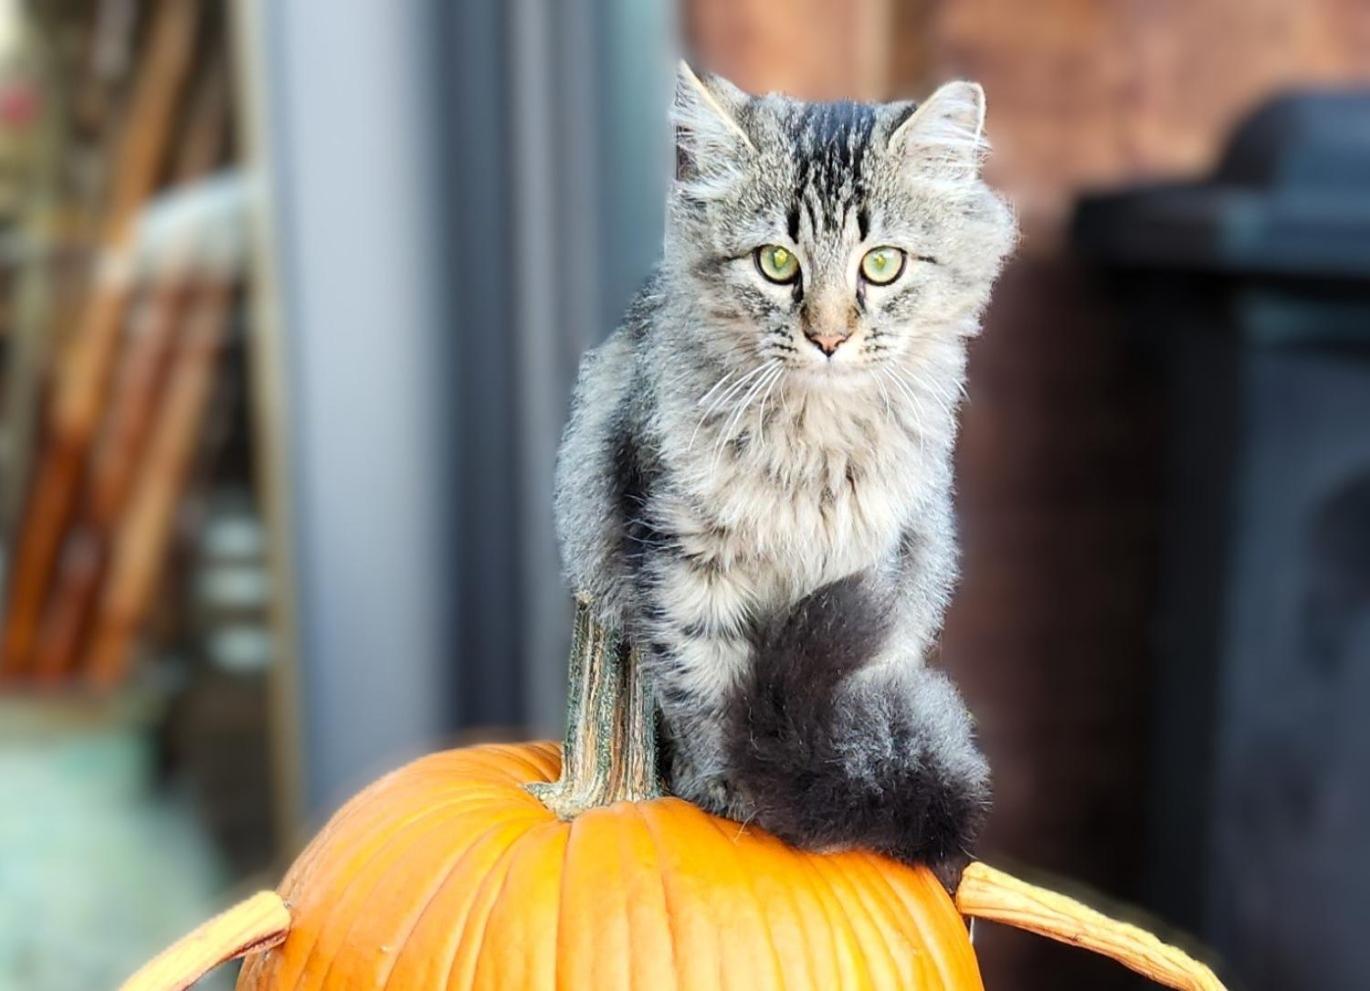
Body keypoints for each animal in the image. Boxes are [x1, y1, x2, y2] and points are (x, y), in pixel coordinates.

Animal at [550, 59, 1013, 882]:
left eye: (882, 264)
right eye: (776, 263)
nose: (828, 337)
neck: (811, 445)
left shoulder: (872, 571)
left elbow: (839, 694)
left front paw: (813, 773)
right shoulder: (677, 550)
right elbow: (703, 679)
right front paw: (724, 785)